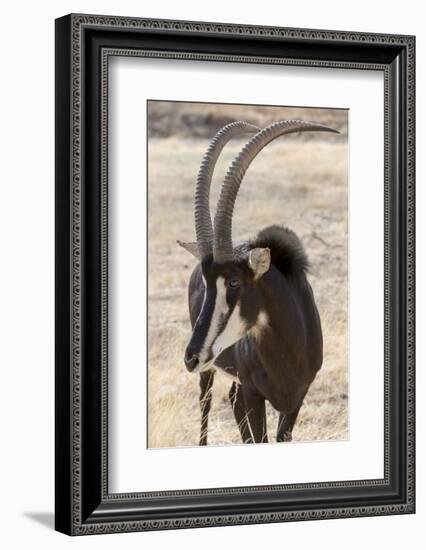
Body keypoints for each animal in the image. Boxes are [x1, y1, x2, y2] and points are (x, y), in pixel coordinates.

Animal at [178, 119, 338, 444]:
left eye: (234, 283)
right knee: (206, 404)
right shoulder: (254, 394)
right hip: (210, 372)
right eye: (208, 284)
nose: (190, 357)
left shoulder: (297, 398)